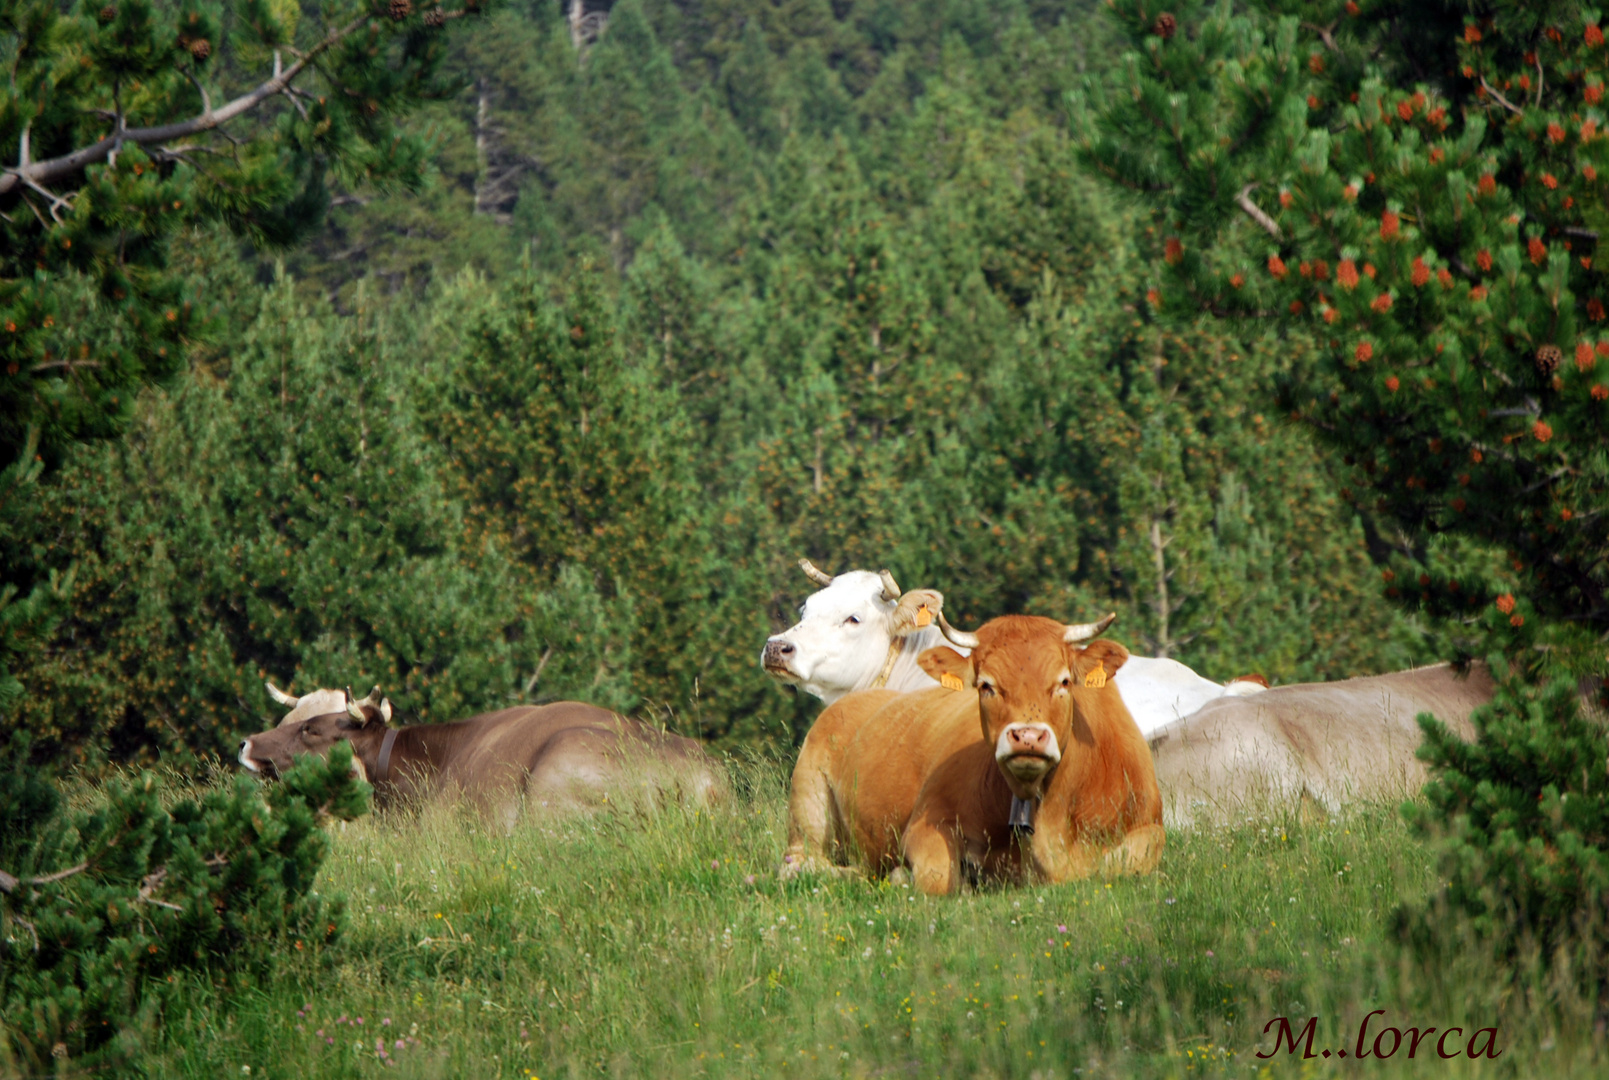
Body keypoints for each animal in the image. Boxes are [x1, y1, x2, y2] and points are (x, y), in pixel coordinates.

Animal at [778, 618, 1158, 894]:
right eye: (987, 685)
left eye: (1064, 682)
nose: (1028, 736)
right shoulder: (928, 821)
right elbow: (936, 878)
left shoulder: (1149, 826)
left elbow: (1130, 862)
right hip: (808, 809)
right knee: (800, 863)